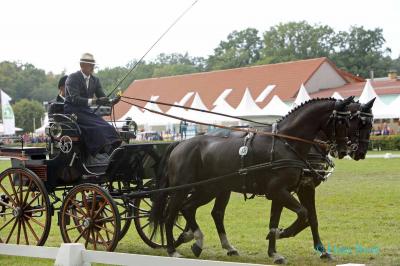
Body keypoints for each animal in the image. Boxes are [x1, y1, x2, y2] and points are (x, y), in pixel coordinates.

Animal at [150, 97, 354, 262]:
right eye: (343, 120)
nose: (346, 149)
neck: (286, 143)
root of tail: (180, 143)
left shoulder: (284, 191)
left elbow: (289, 219)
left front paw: (276, 250)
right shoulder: (280, 190)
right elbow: (304, 214)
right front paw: (283, 234)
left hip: (209, 189)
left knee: (191, 209)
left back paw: (198, 240)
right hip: (182, 189)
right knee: (170, 214)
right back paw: (173, 248)